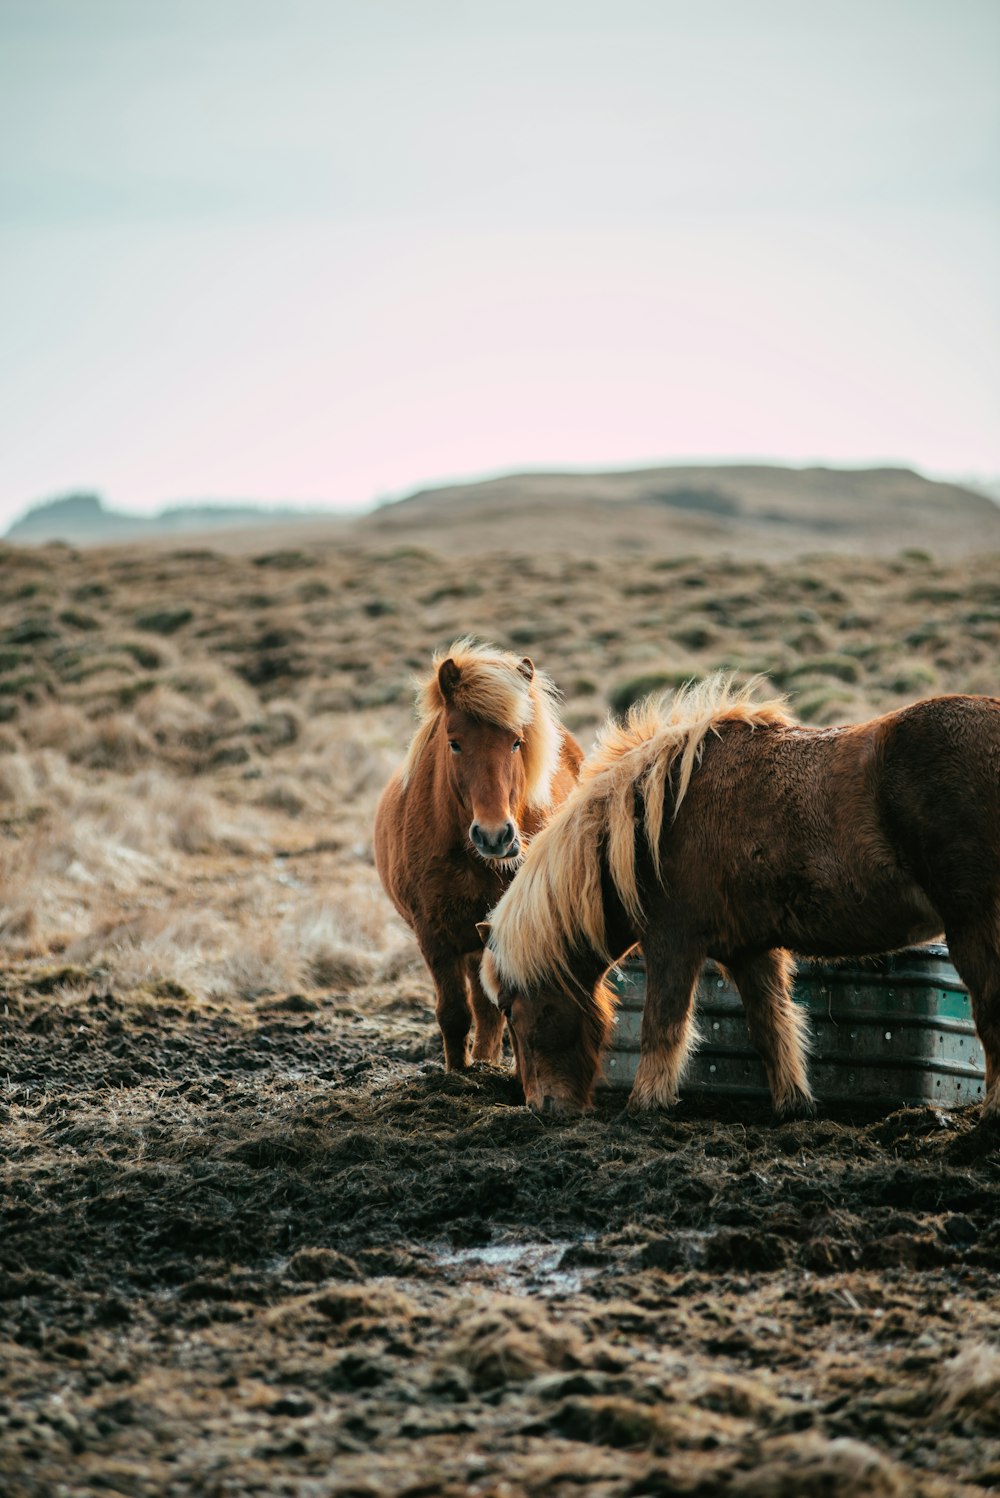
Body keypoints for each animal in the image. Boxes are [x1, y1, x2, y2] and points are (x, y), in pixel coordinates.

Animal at [374, 638, 580, 1072]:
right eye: (454, 742)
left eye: (516, 741)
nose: (494, 836)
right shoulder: (433, 934)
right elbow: (454, 1014)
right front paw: (457, 1074)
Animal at [476, 674, 999, 1120]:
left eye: (510, 1010)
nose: (541, 1106)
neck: (654, 823)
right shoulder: (751, 952)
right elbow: (774, 1028)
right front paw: (794, 1107)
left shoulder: (673, 942)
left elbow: (662, 1026)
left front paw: (644, 1106)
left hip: (974, 924)